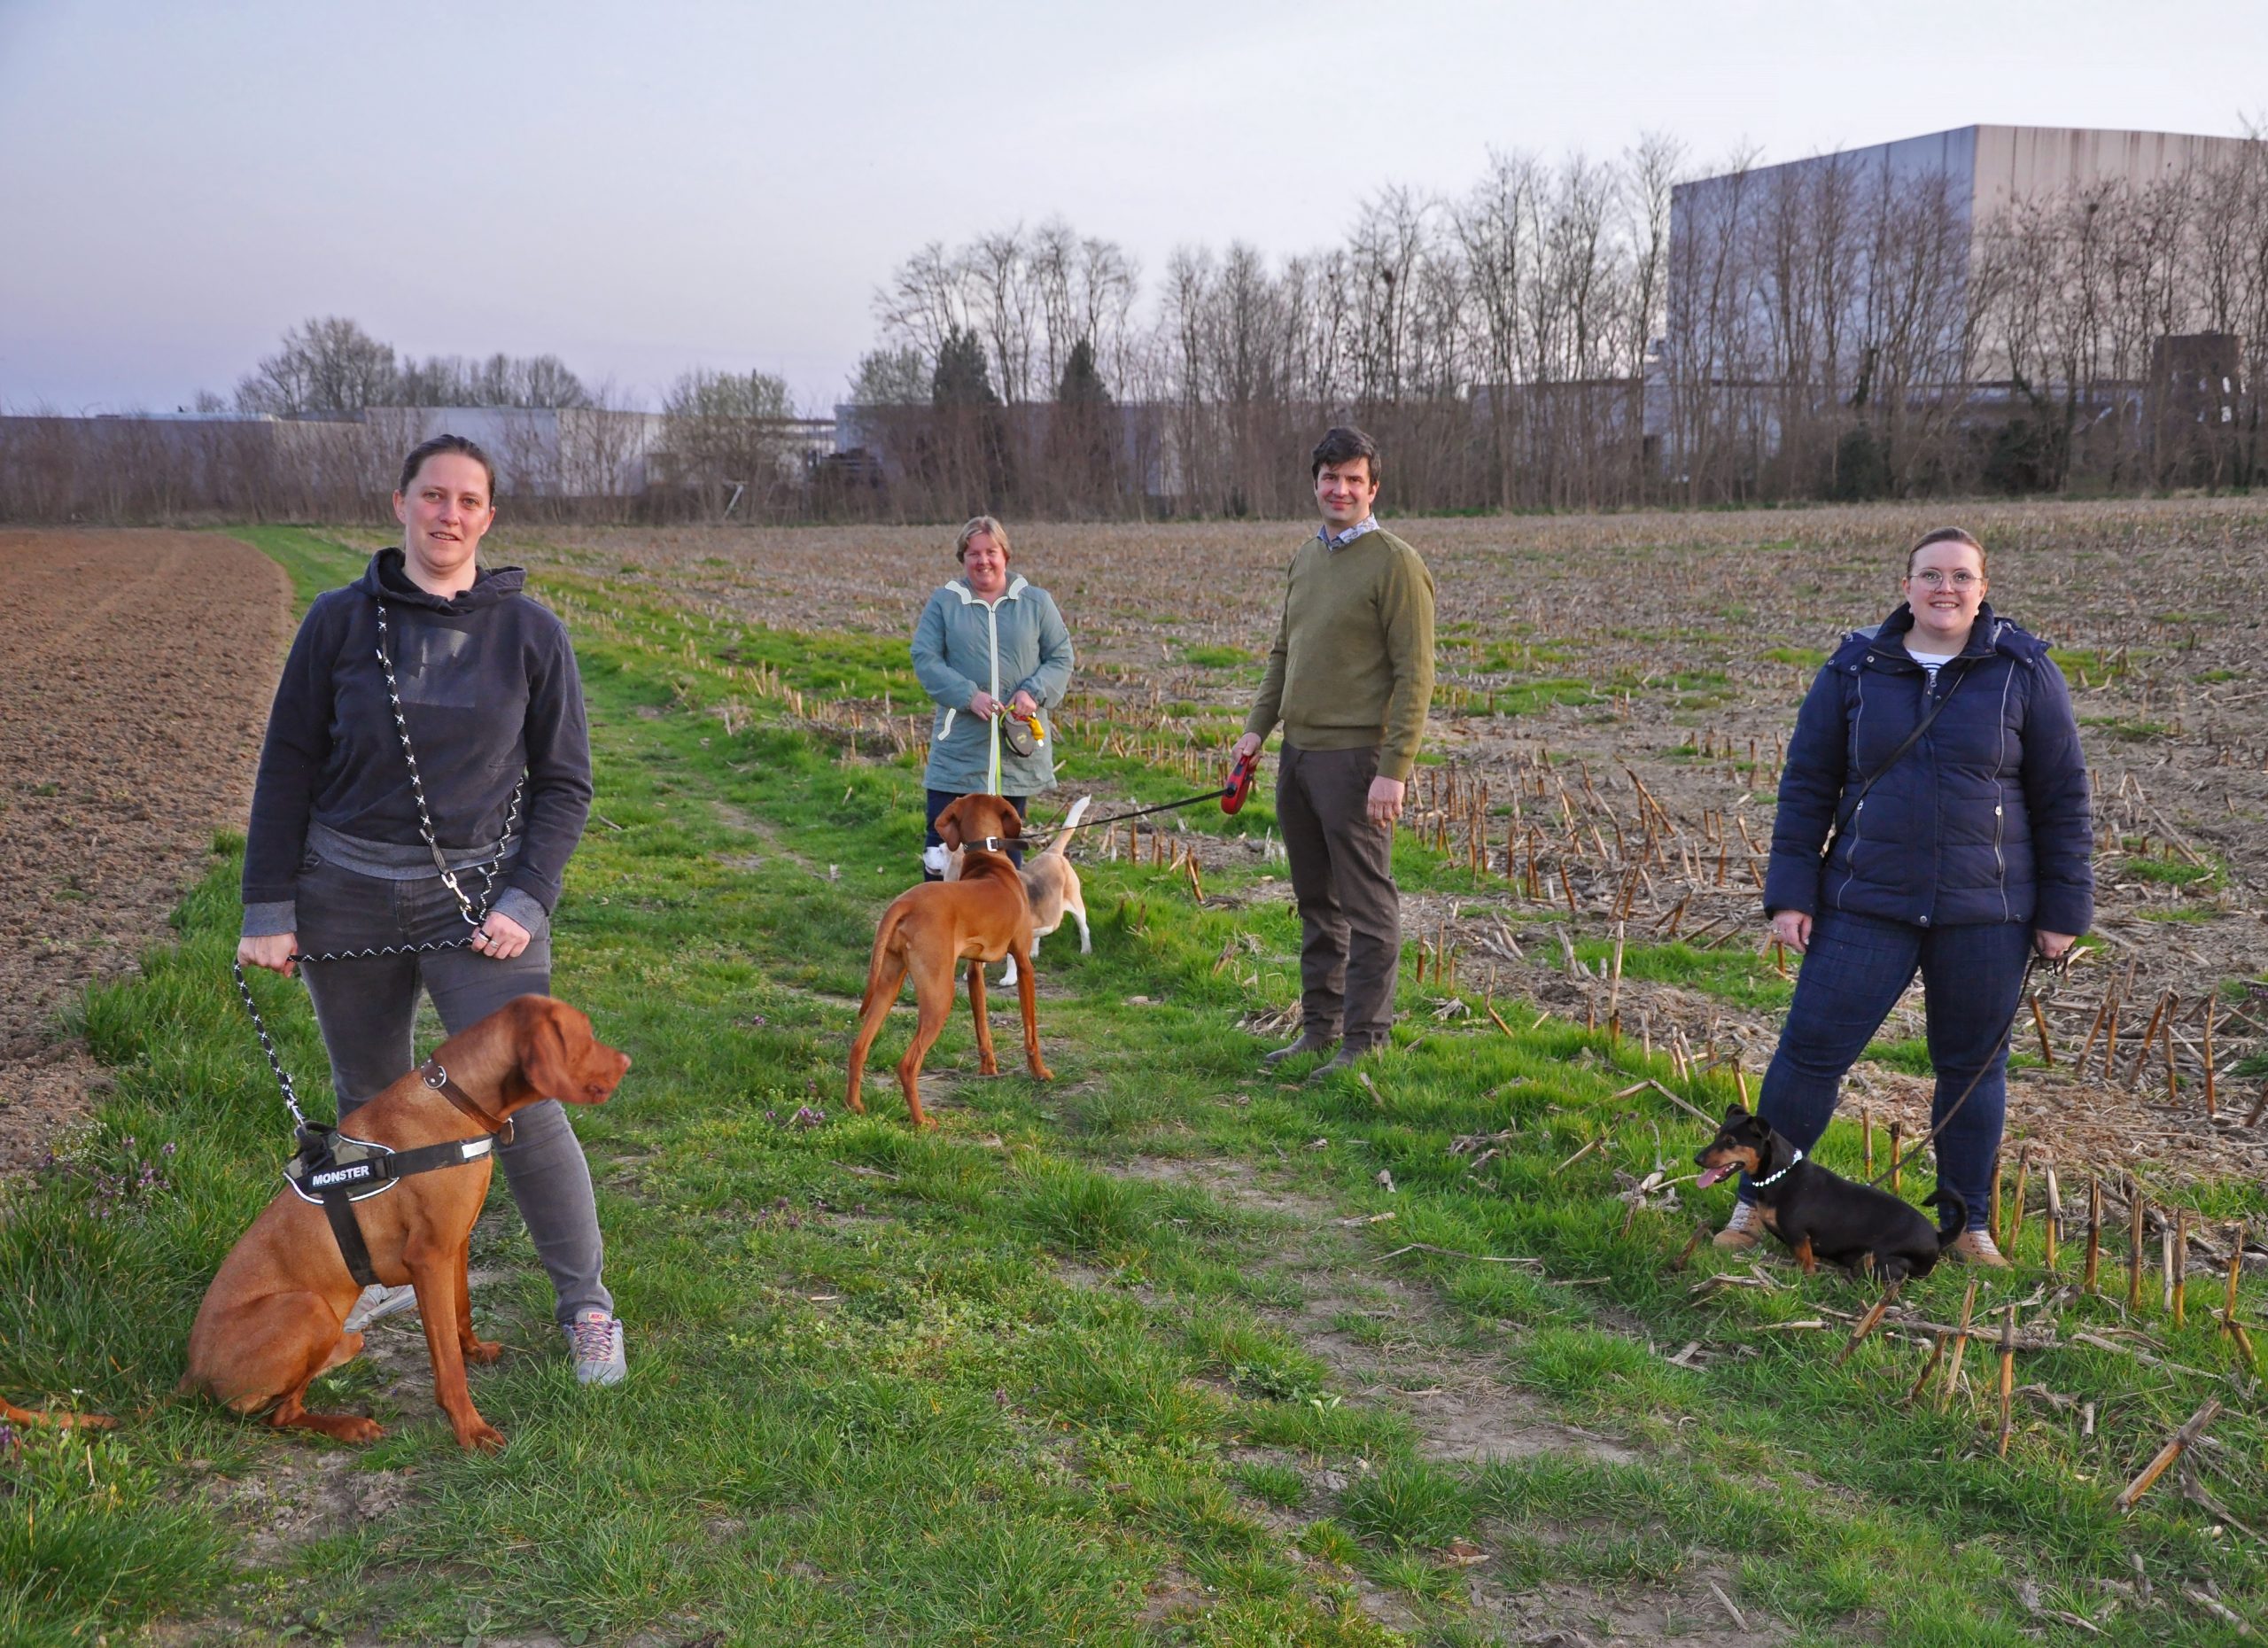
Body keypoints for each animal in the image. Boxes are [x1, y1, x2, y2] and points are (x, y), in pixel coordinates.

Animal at [181, 988, 630, 1450]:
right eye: (584, 1036)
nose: (627, 1062)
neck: (455, 1100)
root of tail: (191, 1375)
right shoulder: (427, 1258)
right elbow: (447, 1362)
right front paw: (470, 1428)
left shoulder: (456, 1243)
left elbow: (461, 1312)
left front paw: (474, 1350)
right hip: (309, 1308)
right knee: (281, 1413)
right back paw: (352, 1426)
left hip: (338, 1330)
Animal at [852, 793, 1052, 1129]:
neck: (988, 861)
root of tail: (905, 902)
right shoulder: (1024, 963)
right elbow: (1030, 1031)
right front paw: (1040, 1072)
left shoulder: (974, 970)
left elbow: (982, 1025)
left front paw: (988, 1069)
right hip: (939, 995)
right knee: (908, 1064)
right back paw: (922, 1122)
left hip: (888, 982)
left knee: (858, 1047)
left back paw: (854, 1106)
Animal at [1696, 1110, 1959, 1287]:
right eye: (1718, 1135)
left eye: (1731, 1142)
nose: (1697, 1159)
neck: (1781, 1176)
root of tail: (1938, 1237)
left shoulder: (1800, 1237)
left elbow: (1806, 1264)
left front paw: (1805, 1282)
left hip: (1882, 1260)